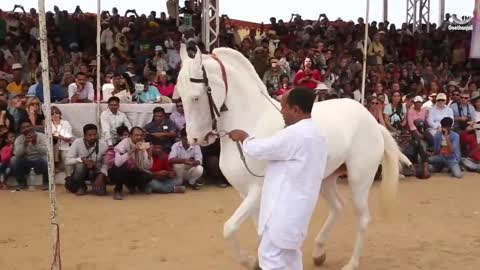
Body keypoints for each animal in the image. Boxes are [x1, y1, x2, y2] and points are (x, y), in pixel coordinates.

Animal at [174, 45, 410, 268]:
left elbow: (229, 227)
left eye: (196, 97)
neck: (253, 120)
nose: (196, 139)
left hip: (359, 179)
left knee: (362, 219)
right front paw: (258, 261)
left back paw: (351, 264)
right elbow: (256, 229)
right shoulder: (244, 193)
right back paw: (319, 253)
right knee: (338, 207)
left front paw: (250, 261)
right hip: (326, 179)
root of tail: (372, 121)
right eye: (181, 97)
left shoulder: (258, 189)